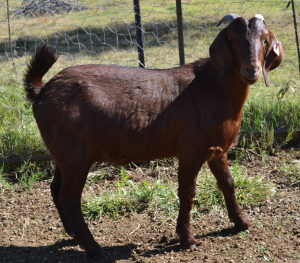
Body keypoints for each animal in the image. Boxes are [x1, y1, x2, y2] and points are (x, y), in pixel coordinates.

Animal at [24, 13, 284, 258]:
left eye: (265, 40)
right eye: (232, 39)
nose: (251, 70)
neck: (214, 87)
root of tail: (42, 91)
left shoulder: (218, 150)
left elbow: (228, 184)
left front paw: (242, 223)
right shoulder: (191, 149)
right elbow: (187, 192)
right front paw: (187, 239)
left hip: (63, 154)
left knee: (56, 189)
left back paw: (73, 236)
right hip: (76, 154)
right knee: (69, 197)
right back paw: (93, 247)